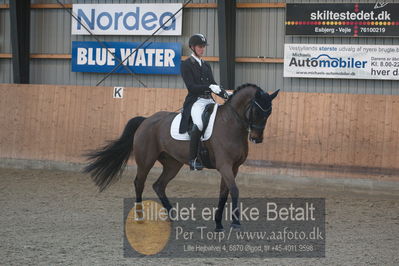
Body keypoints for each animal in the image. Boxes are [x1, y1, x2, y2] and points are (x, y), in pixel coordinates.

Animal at [83, 83, 278, 231]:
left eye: (269, 113)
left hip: (173, 164)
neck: (230, 124)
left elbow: (224, 193)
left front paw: (218, 223)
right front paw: (236, 223)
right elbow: (235, 190)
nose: (257, 138)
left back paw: (172, 216)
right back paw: (140, 217)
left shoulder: (233, 167)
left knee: (159, 185)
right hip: (146, 161)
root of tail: (146, 120)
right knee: (140, 183)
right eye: (257, 111)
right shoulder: (225, 166)